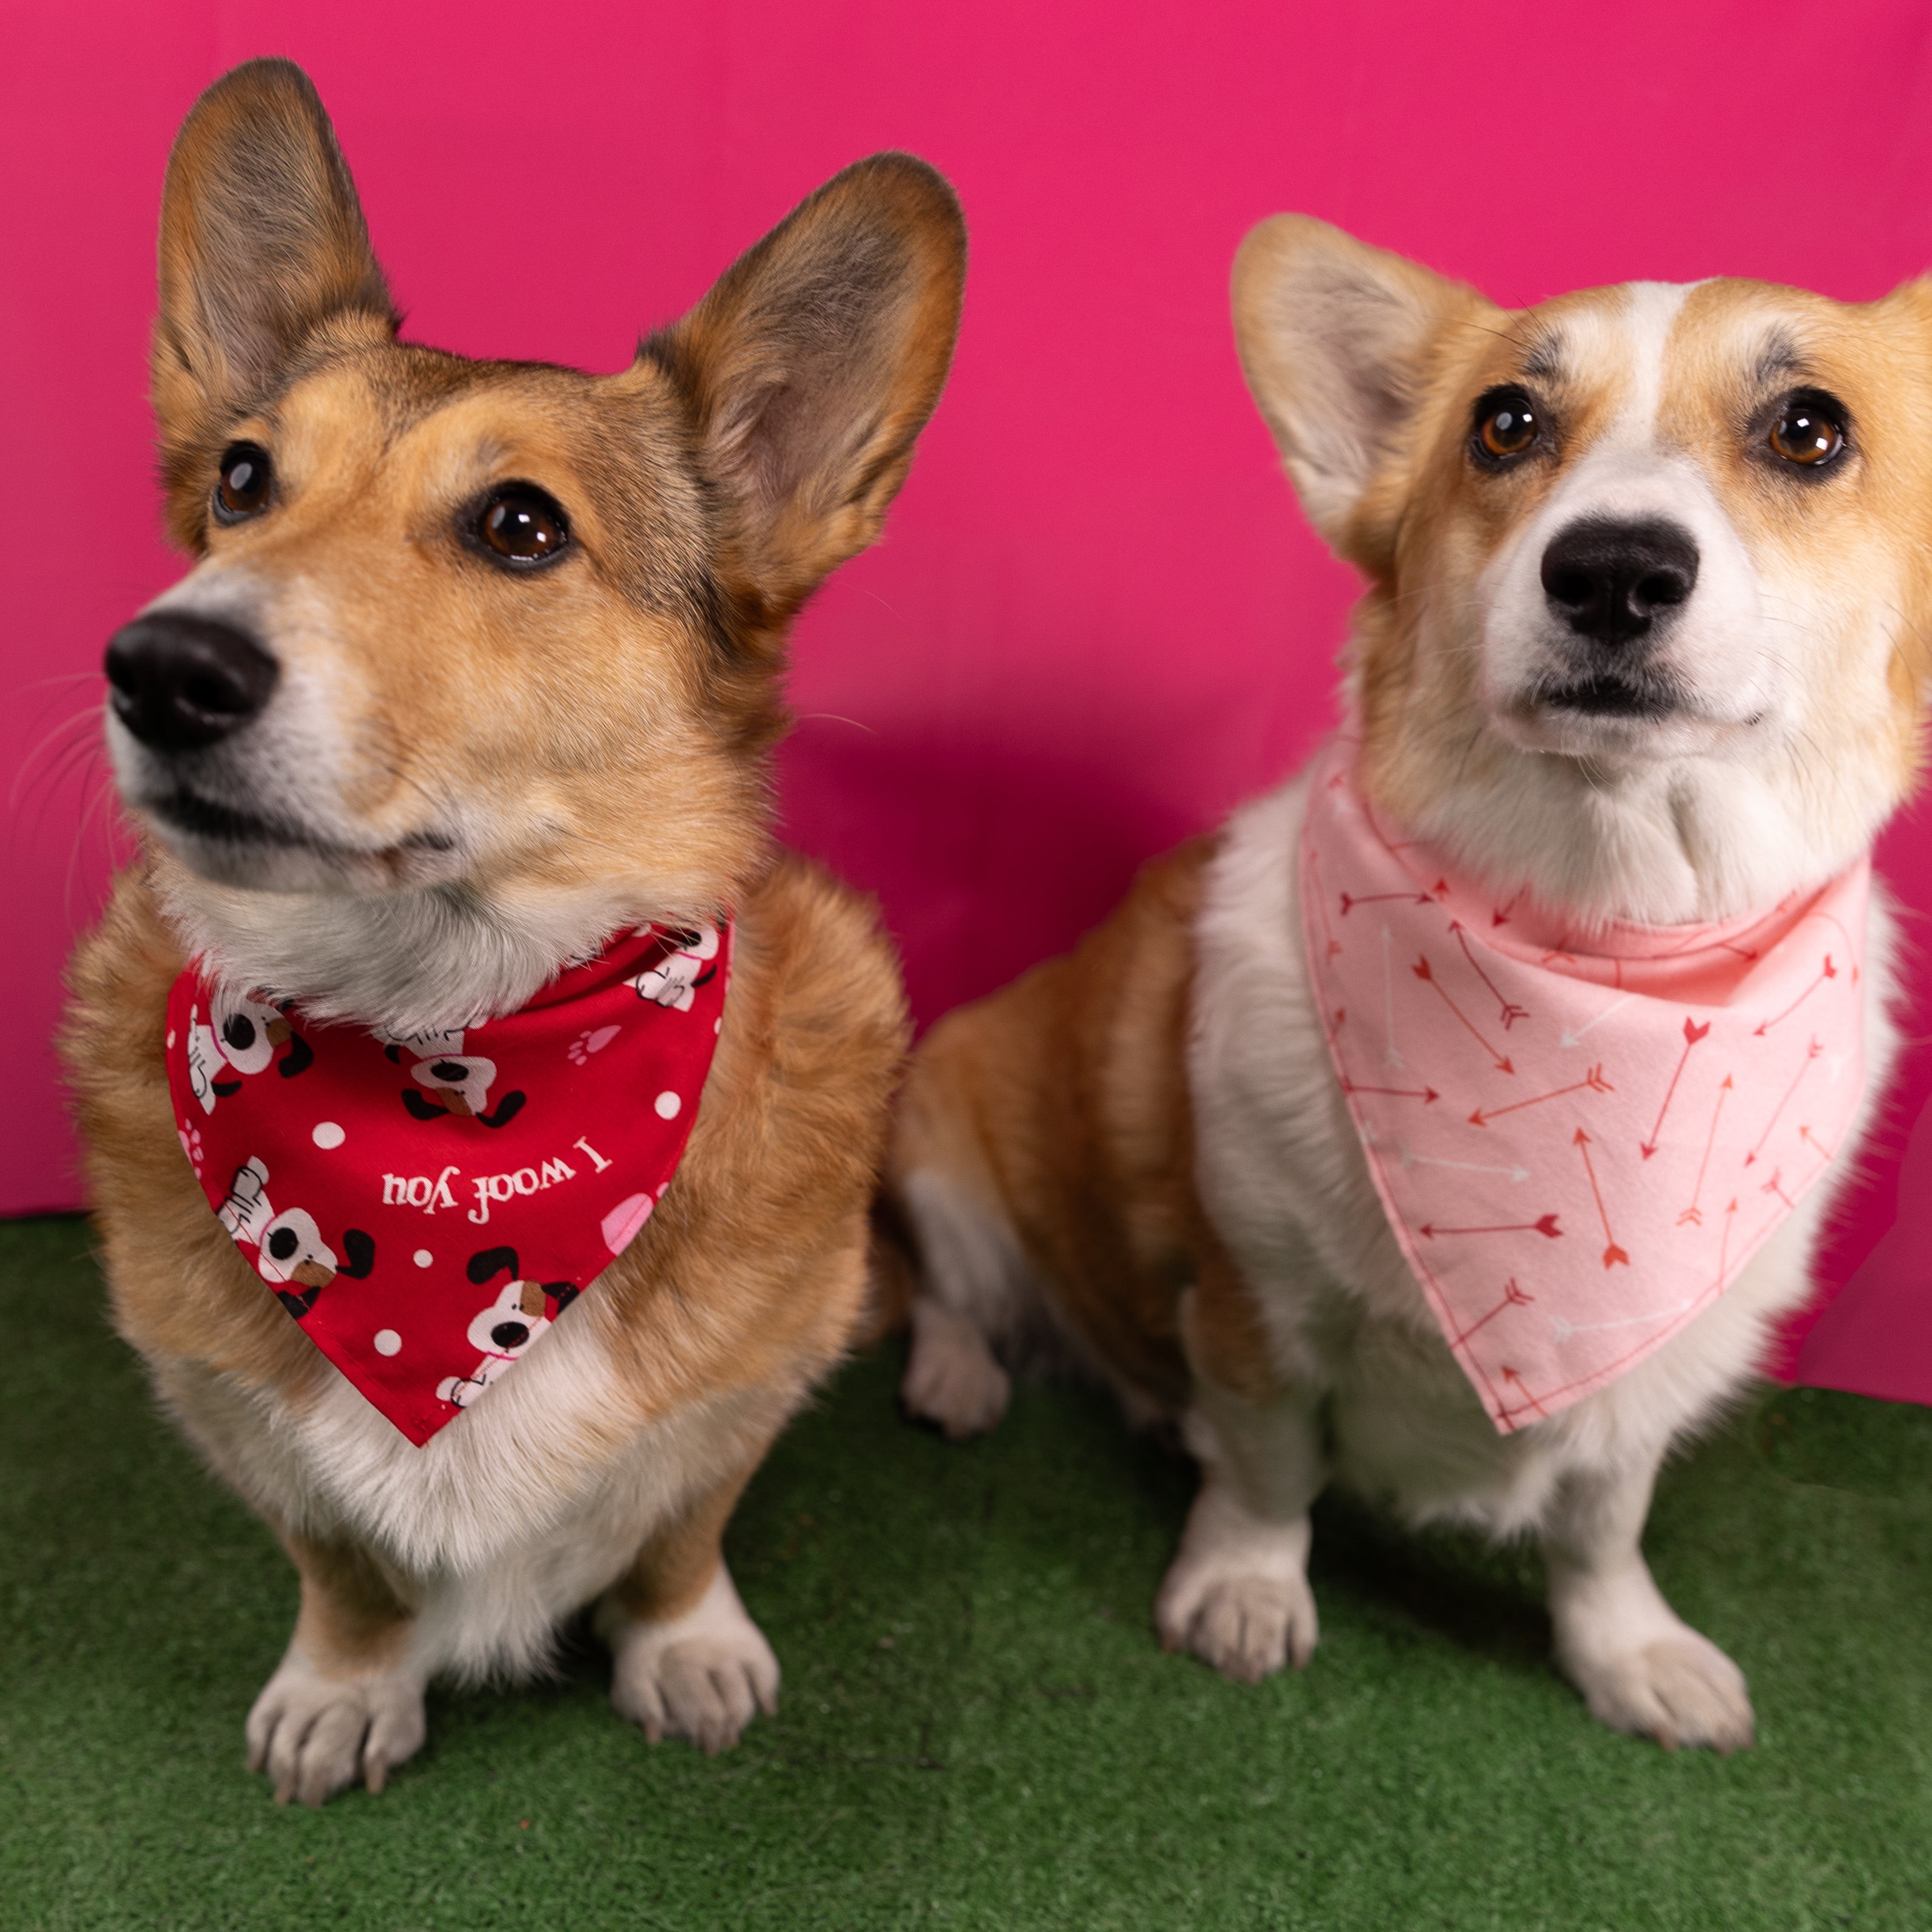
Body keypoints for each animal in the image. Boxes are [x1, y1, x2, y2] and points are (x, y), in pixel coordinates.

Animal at [64, 64, 962, 1808]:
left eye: (523, 527)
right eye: (242, 483)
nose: (160, 667)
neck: (450, 1060)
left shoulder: (747, 1388)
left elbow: (679, 1527)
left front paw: (687, 1652)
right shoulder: (237, 1416)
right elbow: (340, 1563)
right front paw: (345, 1688)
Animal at [892, 215, 1932, 1754]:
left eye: (1811, 430)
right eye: (1505, 425)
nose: (1611, 569)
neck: (1603, 933)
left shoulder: (1642, 1377)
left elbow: (1604, 1526)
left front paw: (1631, 1652)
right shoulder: (1257, 1298)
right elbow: (1267, 1468)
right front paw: (1245, 1591)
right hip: (948, 1132)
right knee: (952, 1290)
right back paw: (961, 1378)